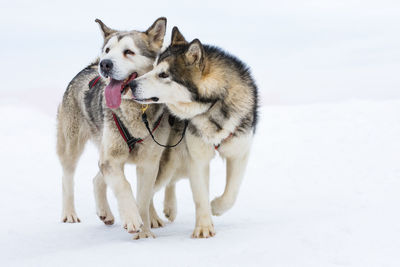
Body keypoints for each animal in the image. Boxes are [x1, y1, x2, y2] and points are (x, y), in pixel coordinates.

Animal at [56, 17, 169, 240]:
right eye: (108, 50)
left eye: (129, 52)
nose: (105, 63)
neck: (137, 111)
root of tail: (89, 66)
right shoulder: (112, 159)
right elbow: (124, 186)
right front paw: (132, 219)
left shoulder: (149, 163)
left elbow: (143, 199)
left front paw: (144, 232)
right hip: (72, 145)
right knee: (68, 177)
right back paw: (69, 213)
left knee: (97, 179)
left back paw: (108, 213)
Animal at [128, 27, 260, 239]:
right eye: (153, 68)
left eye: (163, 74)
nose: (131, 85)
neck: (212, 105)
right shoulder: (197, 159)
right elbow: (200, 196)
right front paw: (204, 228)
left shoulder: (239, 153)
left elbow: (231, 193)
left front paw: (216, 207)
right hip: (167, 162)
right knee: (146, 191)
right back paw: (150, 218)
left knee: (165, 184)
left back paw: (168, 208)